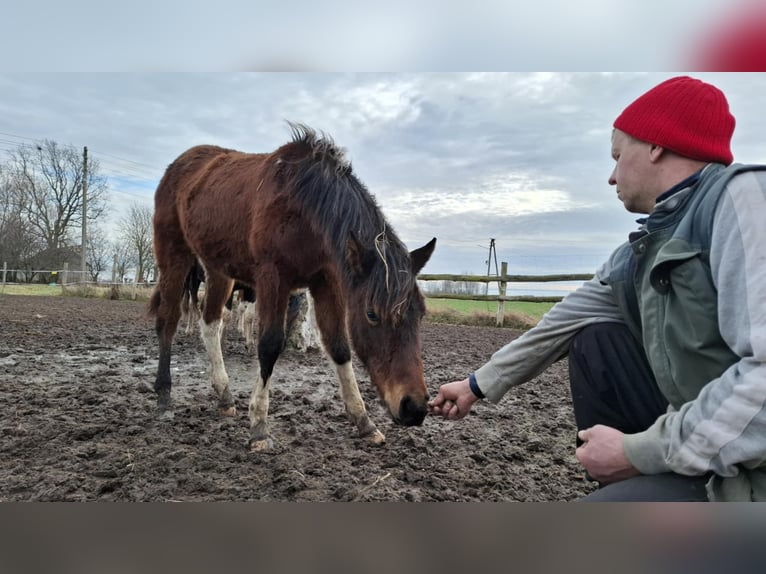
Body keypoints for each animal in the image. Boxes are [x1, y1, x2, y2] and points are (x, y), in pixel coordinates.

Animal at [150, 124, 438, 452]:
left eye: (421, 313)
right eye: (372, 314)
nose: (414, 407)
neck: (306, 207)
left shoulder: (326, 283)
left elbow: (339, 347)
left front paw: (364, 421)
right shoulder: (272, 278)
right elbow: (269, 345)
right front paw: (259, 426)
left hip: (218, 270)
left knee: (210, 323)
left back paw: (224, 395)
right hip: (174, 255)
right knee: (168, 320)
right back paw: (164, 396)